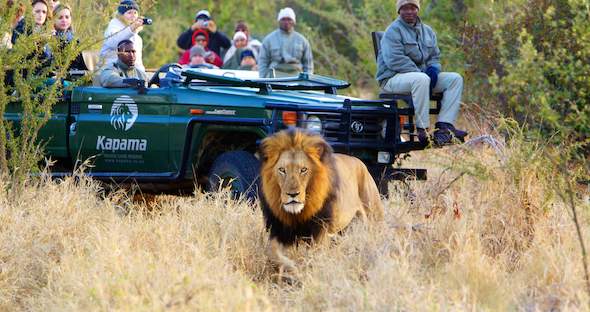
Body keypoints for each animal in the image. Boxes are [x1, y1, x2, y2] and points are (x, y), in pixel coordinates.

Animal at [262, 128, 386, 270]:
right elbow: (270, 252)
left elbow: (314, 257)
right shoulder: (279, 230)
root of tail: (360, 162)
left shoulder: (320, 232)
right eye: (282, 170)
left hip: (374, 216)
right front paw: (290, 266)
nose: (293, 194)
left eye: (303, 170)